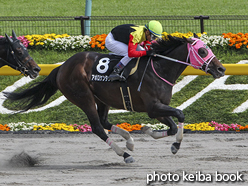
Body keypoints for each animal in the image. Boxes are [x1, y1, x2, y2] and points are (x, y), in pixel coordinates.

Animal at [3, 35, 225, 163]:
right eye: (203, 51)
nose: (221, 69)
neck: (160, 67)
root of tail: (62, 67)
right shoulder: (153, 107)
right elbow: (180, 114)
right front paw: (175, 145)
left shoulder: (158, 108)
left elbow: (171, 126)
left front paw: (149, 131)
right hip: (83, 96)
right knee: (97, 127)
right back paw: (125, 154)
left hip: (102, 98)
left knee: (103, 121)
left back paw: (130, 141)